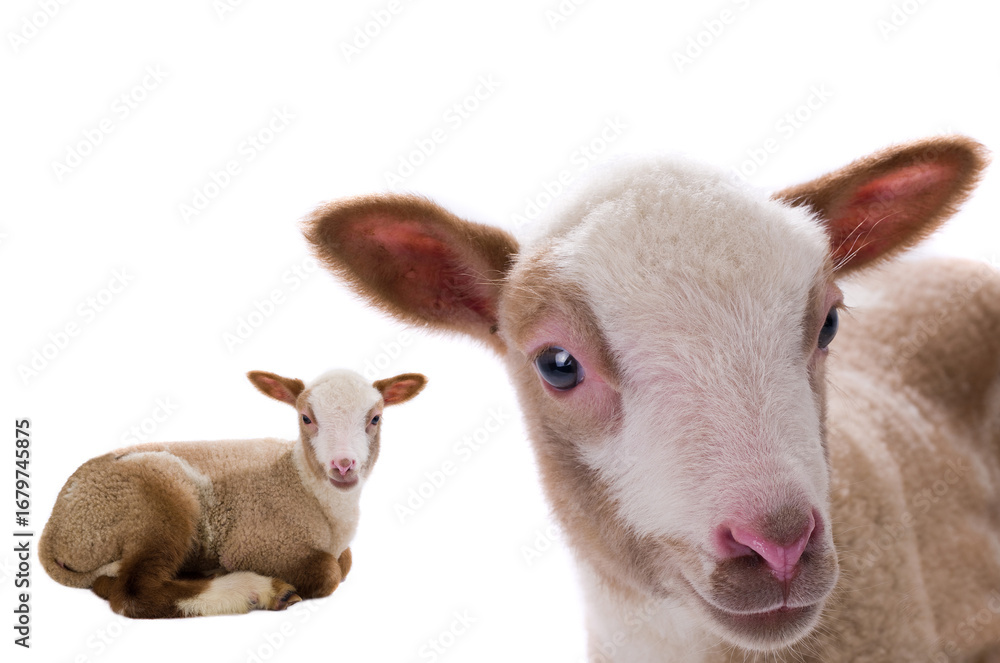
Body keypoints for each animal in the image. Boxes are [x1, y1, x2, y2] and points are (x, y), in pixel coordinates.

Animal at [39, 368, 426, 618]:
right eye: (306, 418)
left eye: (375, 419)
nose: (343, 465)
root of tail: (54, 531)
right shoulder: (260, 542)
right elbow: (330, 572)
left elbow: (344, 562)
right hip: (152, 503)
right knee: (132, 593)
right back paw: (257, 591)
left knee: (112, 583)